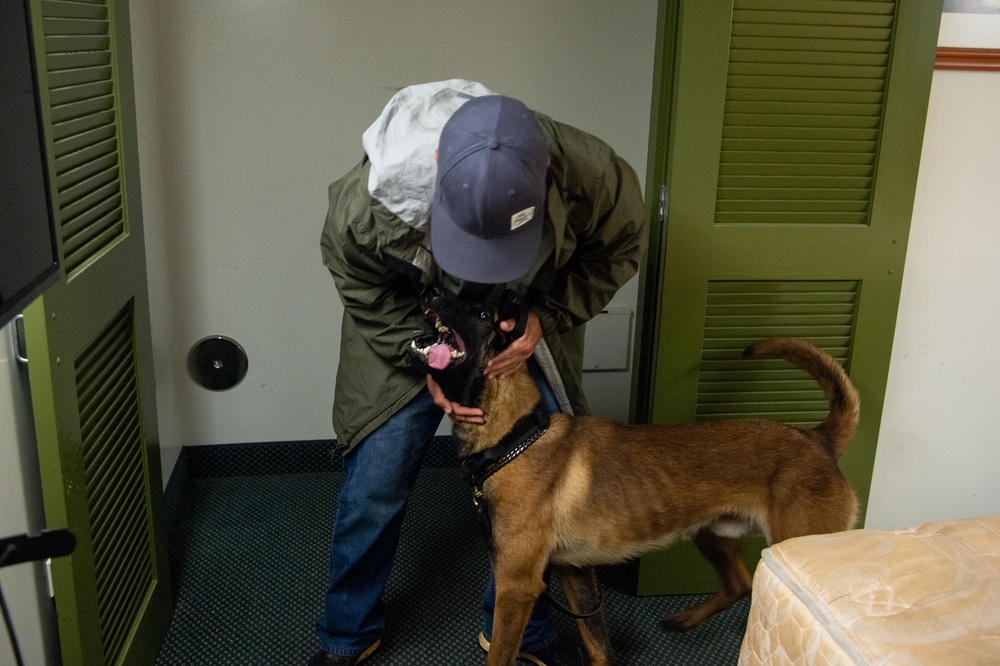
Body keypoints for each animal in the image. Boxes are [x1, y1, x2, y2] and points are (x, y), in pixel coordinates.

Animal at [406, 286, 860, 664]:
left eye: (482, 311)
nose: (428, 288)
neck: (517, 435)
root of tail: (818, 438)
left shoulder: (517, 585)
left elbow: (500, 656)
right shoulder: (575, 573)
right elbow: (598, 645)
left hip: (790, 543)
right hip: (711, 534)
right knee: (740, 584)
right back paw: (684, 619)